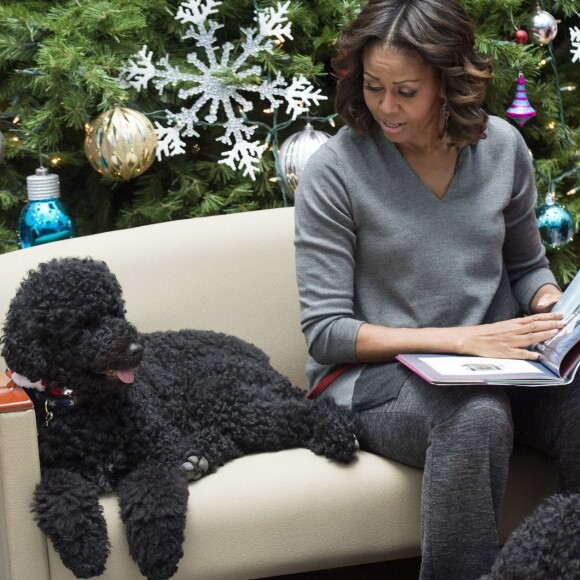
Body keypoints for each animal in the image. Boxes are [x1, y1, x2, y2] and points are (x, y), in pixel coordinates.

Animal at [2, 258, 358, 580]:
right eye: (83, 323)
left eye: (117, 311)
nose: (136, 349)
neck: (87, 407)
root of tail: (261, 357)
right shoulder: (55, 468)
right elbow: (60, 496)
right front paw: (85, 548)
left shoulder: (157, 449)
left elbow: (154, 496)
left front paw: (157, 552)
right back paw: (195, 459)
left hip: (223, 397)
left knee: (305, 410)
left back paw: (337, 433)